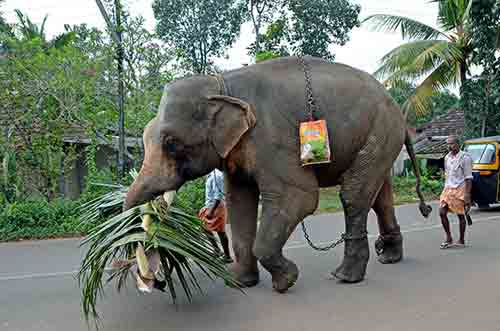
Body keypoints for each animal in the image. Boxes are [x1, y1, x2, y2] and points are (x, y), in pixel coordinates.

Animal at [123, 55, 432, 294]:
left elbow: (299, 197)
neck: (221, 83)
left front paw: (286, 281)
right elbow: (239, 202)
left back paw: (345, 276)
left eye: (171, 144)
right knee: (381, 196)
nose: (155, 283)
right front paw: (239, 283)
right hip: (380, 137)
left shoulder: (271, 137)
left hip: (382, 130)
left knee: (353, 195)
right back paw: (389, 257)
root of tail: (400, 111)